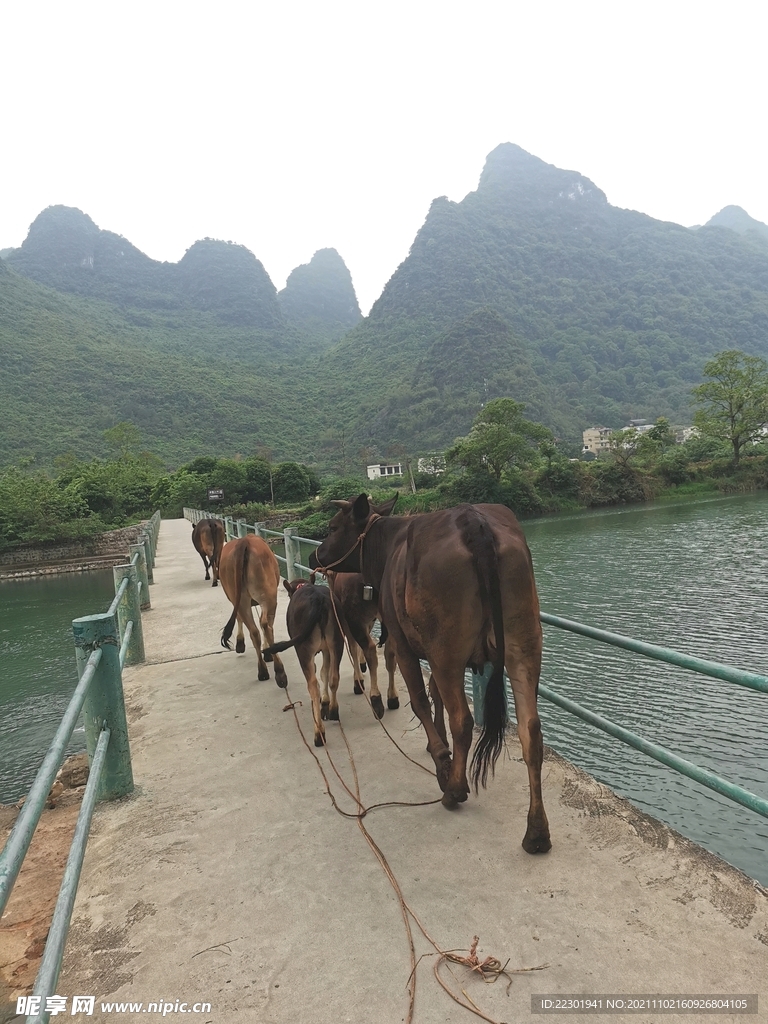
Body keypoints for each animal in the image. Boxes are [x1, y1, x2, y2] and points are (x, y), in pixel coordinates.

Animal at [219, 536, 288, 688]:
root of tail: (244, 541)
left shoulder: (234, 601)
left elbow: (238, 618)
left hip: (241, 598)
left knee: (255, 630)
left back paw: (262, 671)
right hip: (268, 596)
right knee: (265, 625)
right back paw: (279, 672)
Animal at [266, 577, 348, 745]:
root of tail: (318, 599)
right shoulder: (326, 649)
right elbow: (324, 672)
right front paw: (325, 703)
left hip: (303, 648)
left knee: (313, 686)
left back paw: (319, 733)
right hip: (337, 641)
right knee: (334, 677)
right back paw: (333, 710)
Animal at [325, 569, 399, 720]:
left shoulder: (348, 620)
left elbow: (353, 647)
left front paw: (358, 679)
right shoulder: (369, 620)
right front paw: (361, 664)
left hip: (354, 617)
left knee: (370, 648)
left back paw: (376, 700)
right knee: (390, 655)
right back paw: (392, 697)